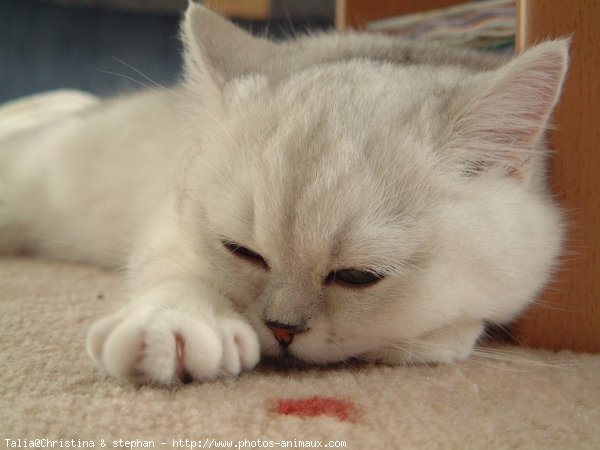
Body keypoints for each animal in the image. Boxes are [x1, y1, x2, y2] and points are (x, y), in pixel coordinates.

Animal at [1, 1, 568, 384]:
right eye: (242, 252)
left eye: (358, 277)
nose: (281, 329)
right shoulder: (168, 223)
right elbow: (178, 271)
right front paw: (174, 326)